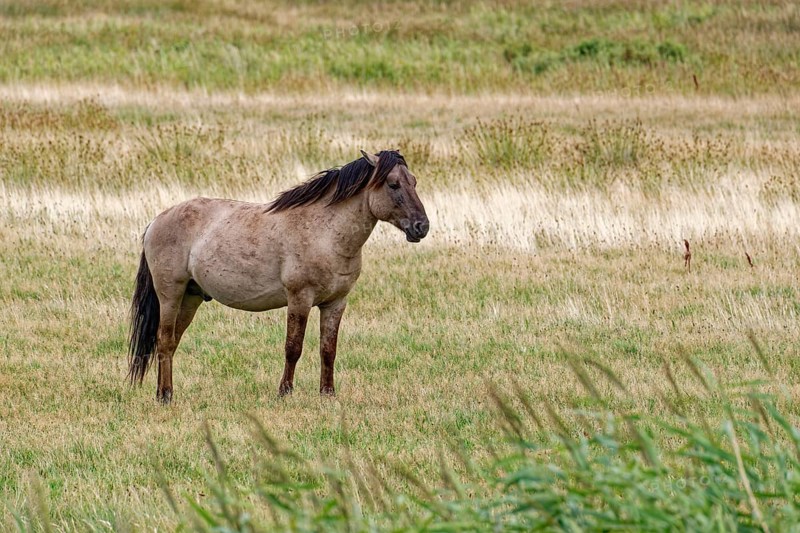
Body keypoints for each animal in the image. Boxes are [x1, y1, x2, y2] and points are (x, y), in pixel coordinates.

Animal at [128, 150, 429, 403]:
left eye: (414, 181)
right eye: (393, 184)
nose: (422, 227)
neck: (326, 233)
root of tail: (156, 221)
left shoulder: (336, 303)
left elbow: (328, 350)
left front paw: (328, 395)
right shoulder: (299, 299)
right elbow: (293, 347)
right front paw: (285, 392)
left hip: (191, 298)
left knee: (171, 342)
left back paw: (163, 392)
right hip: (170, 294)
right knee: (164, 340)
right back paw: (165, 396)